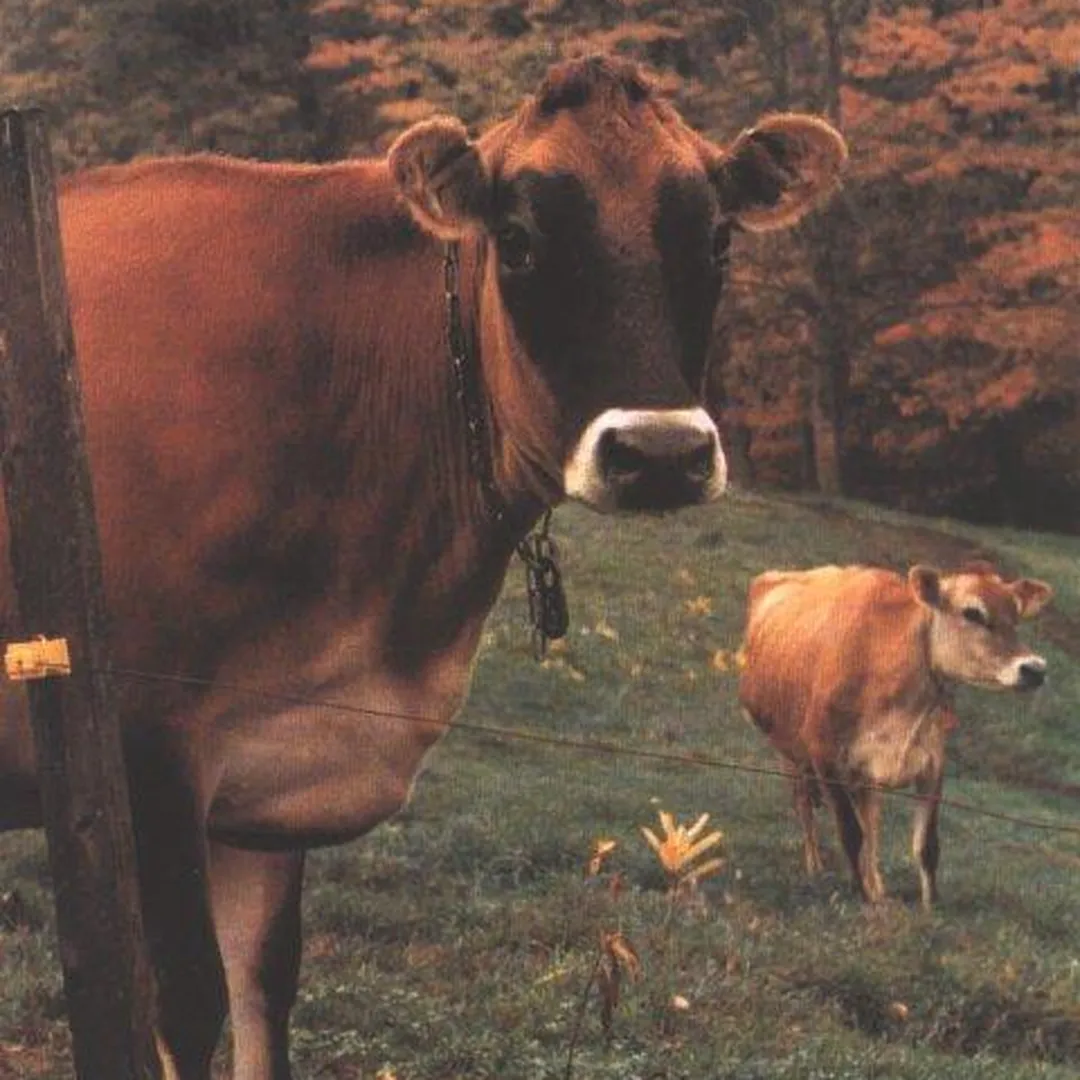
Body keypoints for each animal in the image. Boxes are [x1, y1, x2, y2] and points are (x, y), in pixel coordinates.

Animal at [0, 56, 846, 1080]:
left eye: (718, 239)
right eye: (516, 241)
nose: (660, 454)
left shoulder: (270, 772)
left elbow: (265, 985)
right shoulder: (145, 740)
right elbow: (190, 999)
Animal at [738, 562, 1052, 910]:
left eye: (1016, 615)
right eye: (972, 612)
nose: (1035, 668)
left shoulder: (931, 763)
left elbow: (925, 844)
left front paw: (929, 907)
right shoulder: (825, 756)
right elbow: (851, 832)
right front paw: (861, 897)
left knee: (870, 819)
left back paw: (877, 887)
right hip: (788, 752)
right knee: (803, 805)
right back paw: (816, 866)